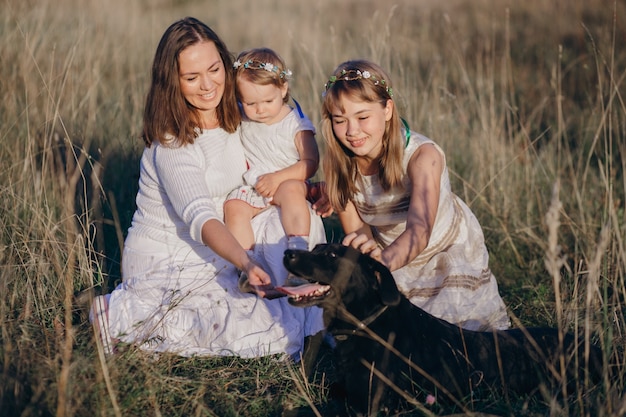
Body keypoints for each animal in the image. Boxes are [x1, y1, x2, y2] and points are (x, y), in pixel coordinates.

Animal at [276, 244, 600, 412]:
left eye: (331, 255)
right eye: (315, 248)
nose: (288, 252)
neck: (368, 325)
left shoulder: (374, 402)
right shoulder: (346, 388)